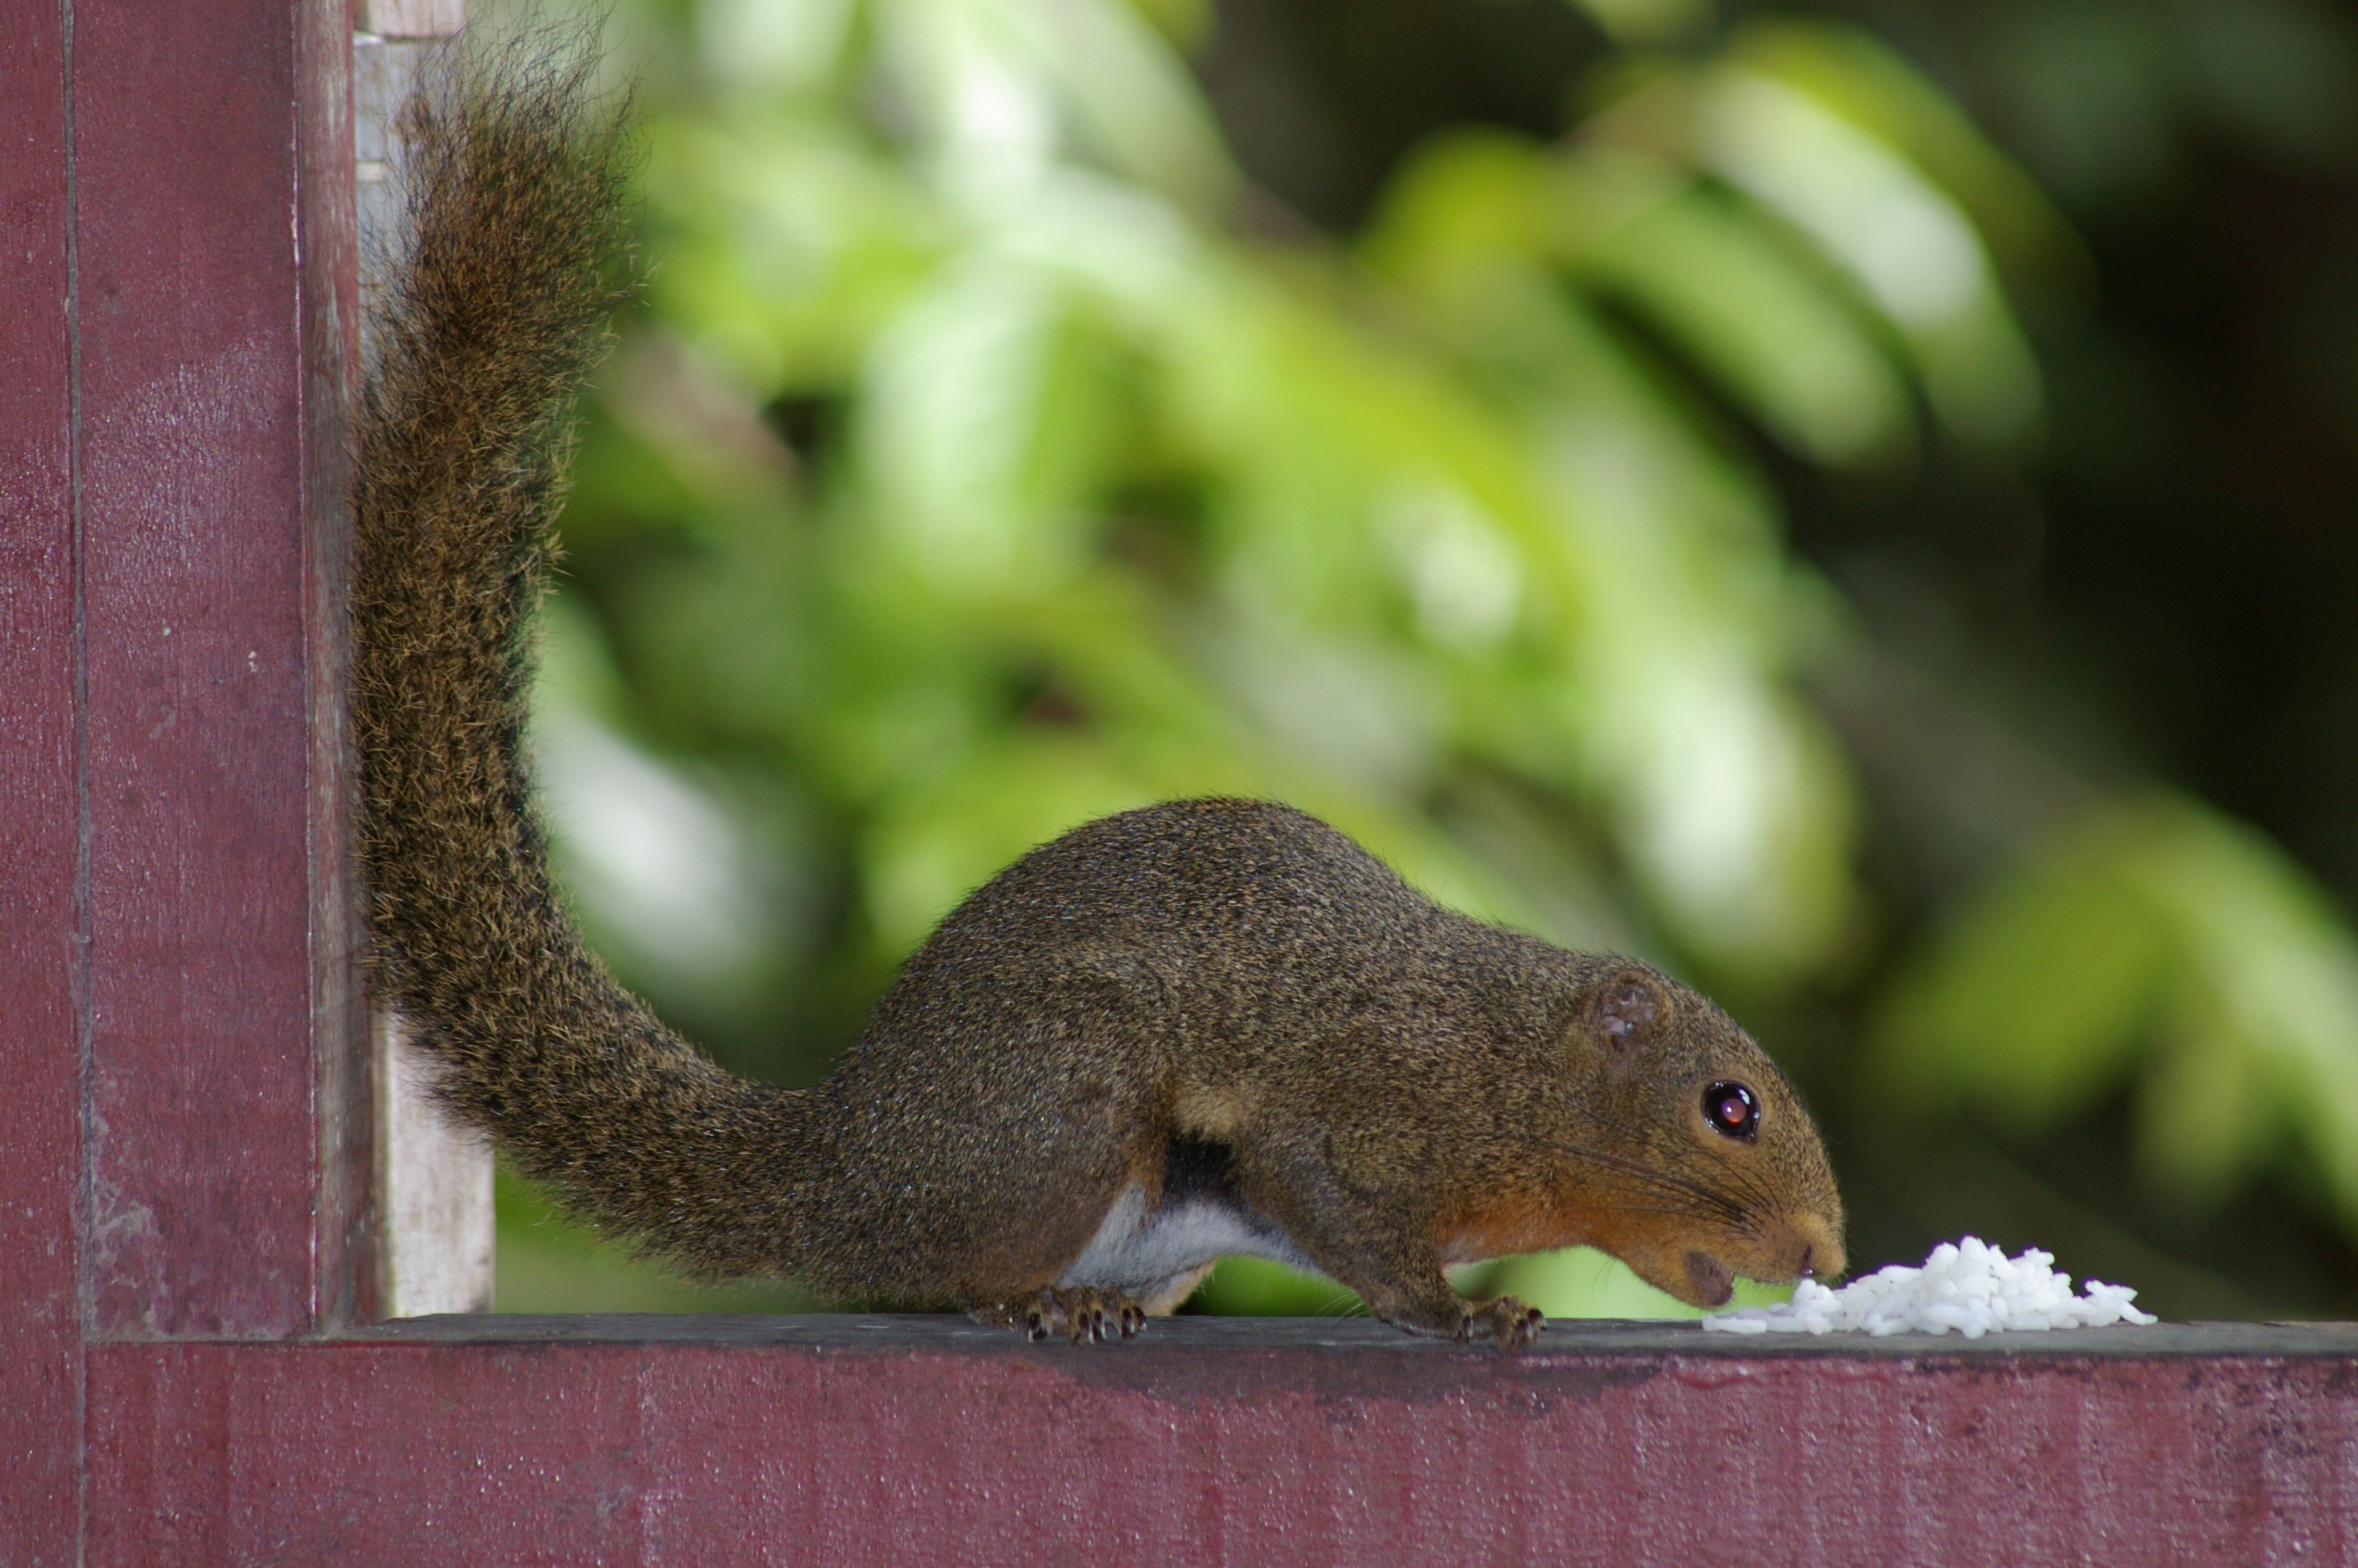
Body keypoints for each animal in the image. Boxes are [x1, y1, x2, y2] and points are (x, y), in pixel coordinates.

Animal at [350, 37, 1845, 1350]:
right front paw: (1464, 1313)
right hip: (1065, 1098)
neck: (1506, 1069)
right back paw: (1039, 1300)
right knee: (947, 1275)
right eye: (1727, 1108)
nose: (1825, 1252)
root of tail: (843, 1165)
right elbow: (1355, 1233)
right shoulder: (1355, 1119)